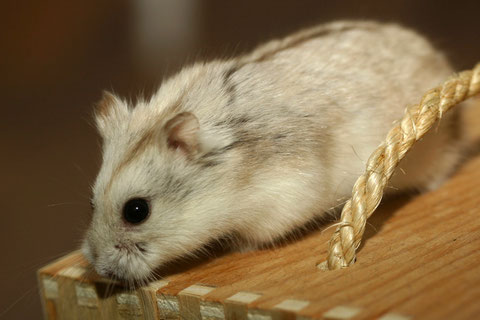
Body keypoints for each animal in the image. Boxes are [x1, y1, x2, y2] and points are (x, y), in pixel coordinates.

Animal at [83, 20, 464, 282]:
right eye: (91, 202)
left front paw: (233, 246)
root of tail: (439, 60)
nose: (100, 271)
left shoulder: (282, 198)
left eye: (136, 211)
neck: (231, 172)